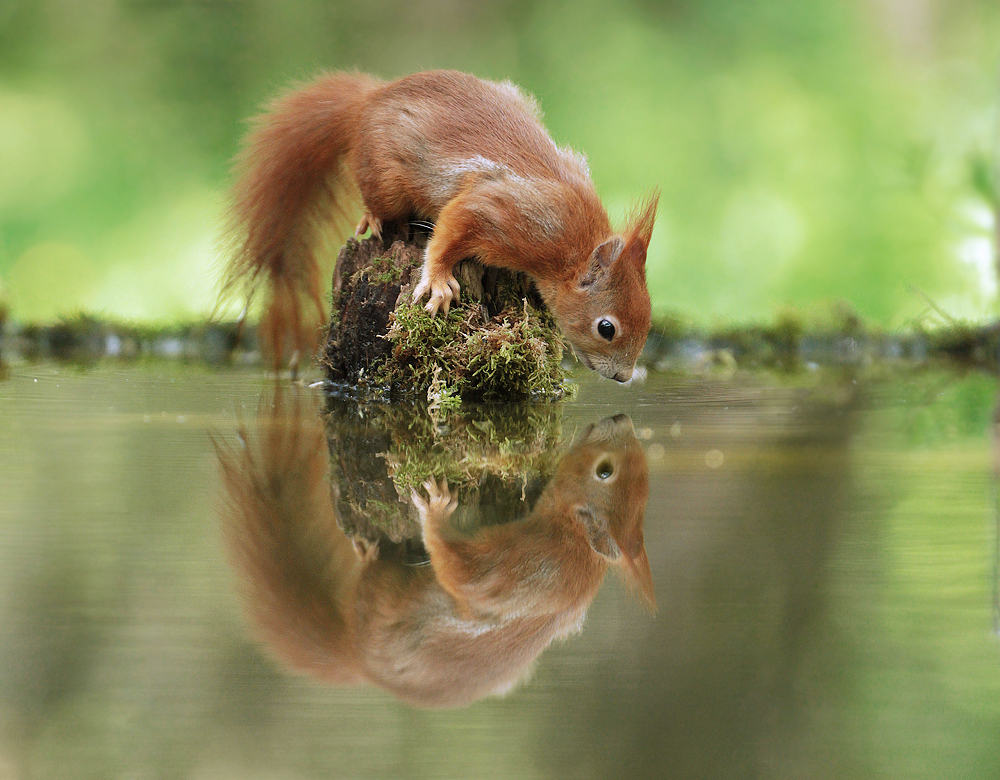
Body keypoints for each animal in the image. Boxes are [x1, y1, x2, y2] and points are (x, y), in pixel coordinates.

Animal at [217, 396, 656, 708]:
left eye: (604, 471)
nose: (623, 419)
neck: (575, 540)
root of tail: (360, 658)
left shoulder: (532, 563)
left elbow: (465, 574)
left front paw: (436, 511)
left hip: (385, 597)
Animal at [224, 70, 660, 380]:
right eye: (607, 328)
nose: (623, 377)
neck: (572, 245)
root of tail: (370, 101)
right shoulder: (501, 211)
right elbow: (450, 230)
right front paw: (437, 280)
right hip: (387, 178)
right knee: (379, 198)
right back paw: (372, 217)